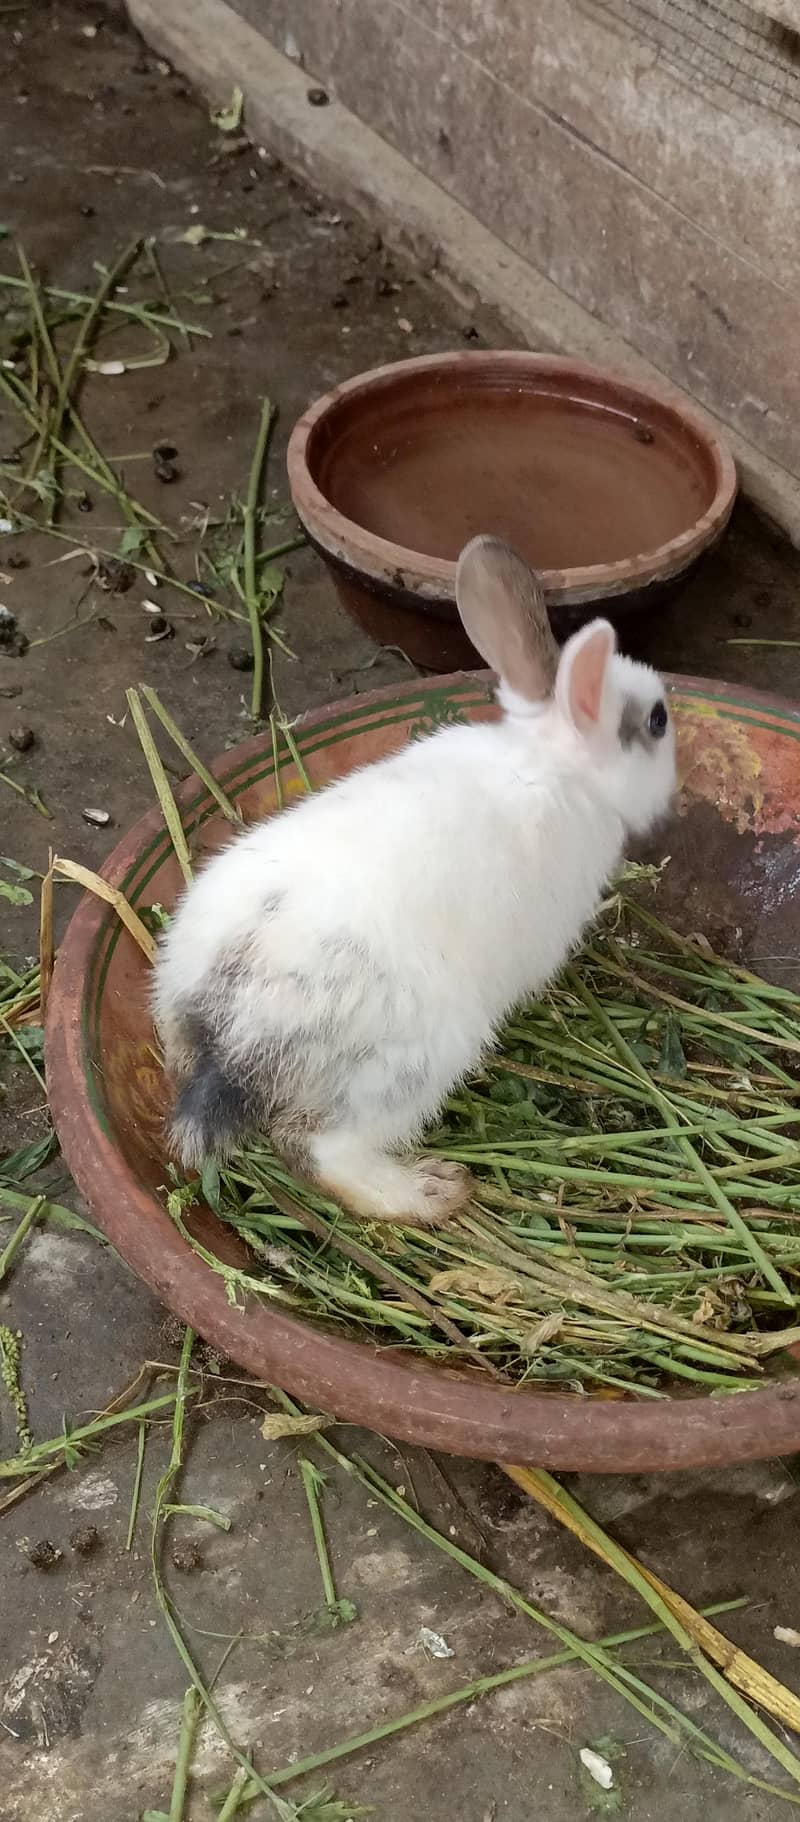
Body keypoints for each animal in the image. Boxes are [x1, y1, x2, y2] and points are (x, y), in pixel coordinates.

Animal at [154, 535, 676, 1225]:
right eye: (657, 721)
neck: (551, 760)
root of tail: (227, 1031)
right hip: (413, 1066)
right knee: (322, 1153)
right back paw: (433, 1191)